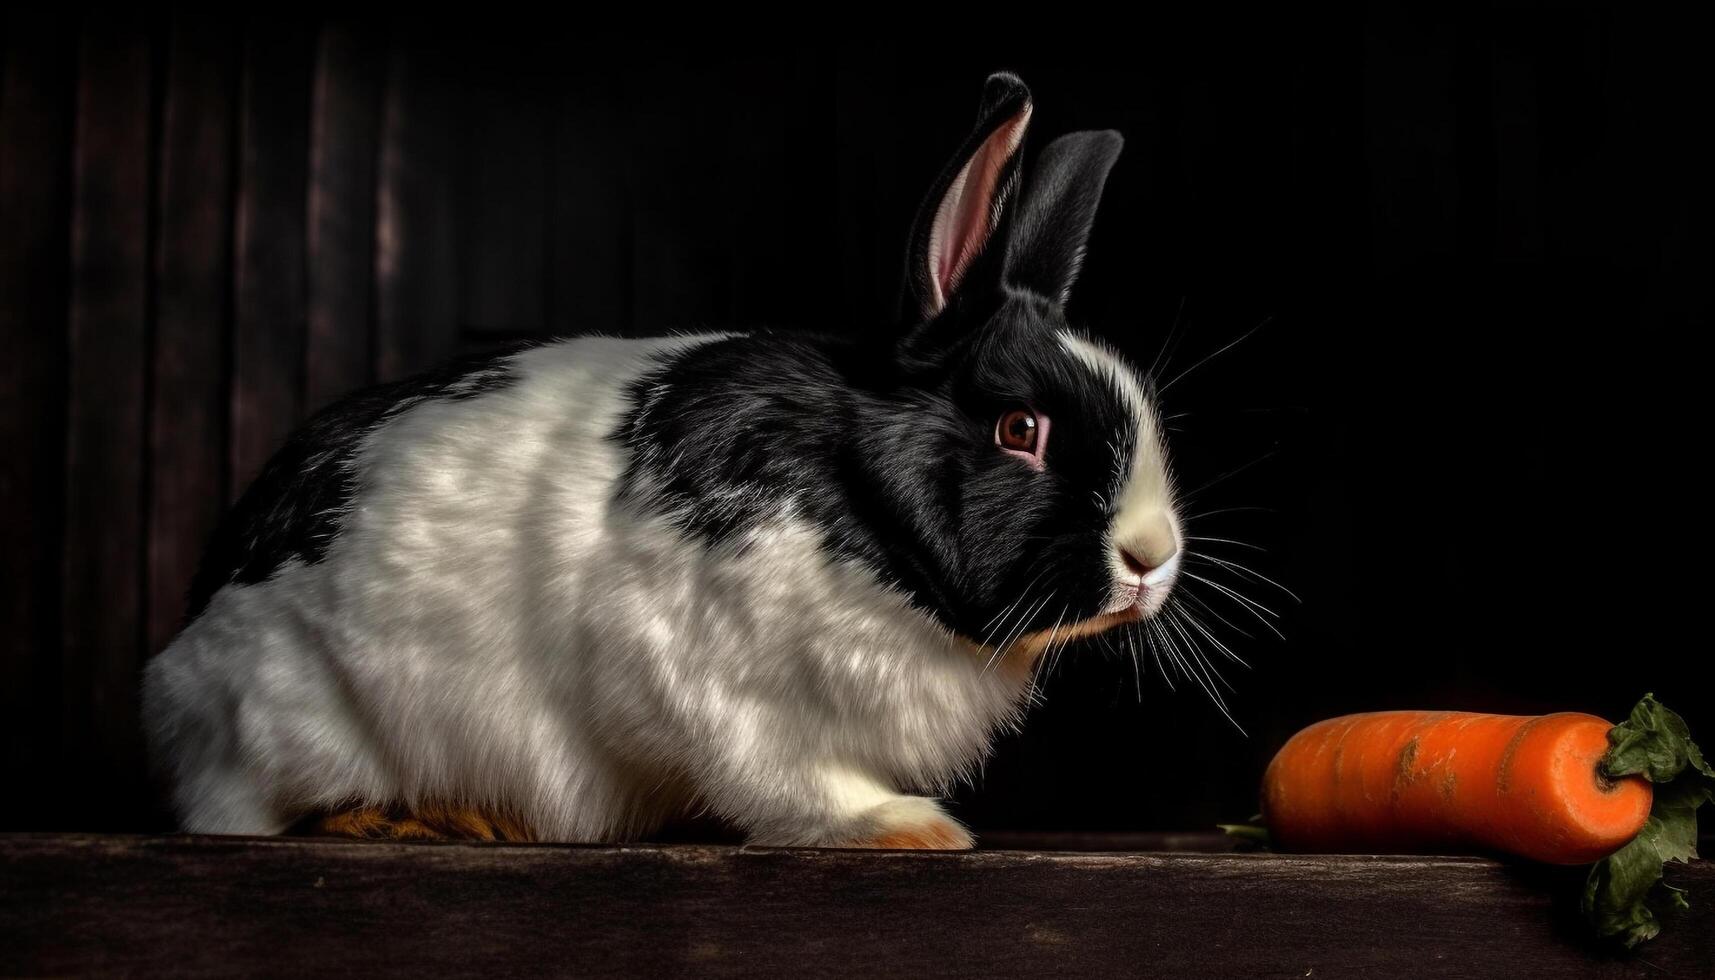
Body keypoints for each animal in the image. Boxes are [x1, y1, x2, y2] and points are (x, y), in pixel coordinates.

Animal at [144, 72, 1179, 847]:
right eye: (1019, 431)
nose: (1152, 557)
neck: (857, 508)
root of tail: (177, 681)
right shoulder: (725, 688)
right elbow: (790, 783)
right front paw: (906, 825)